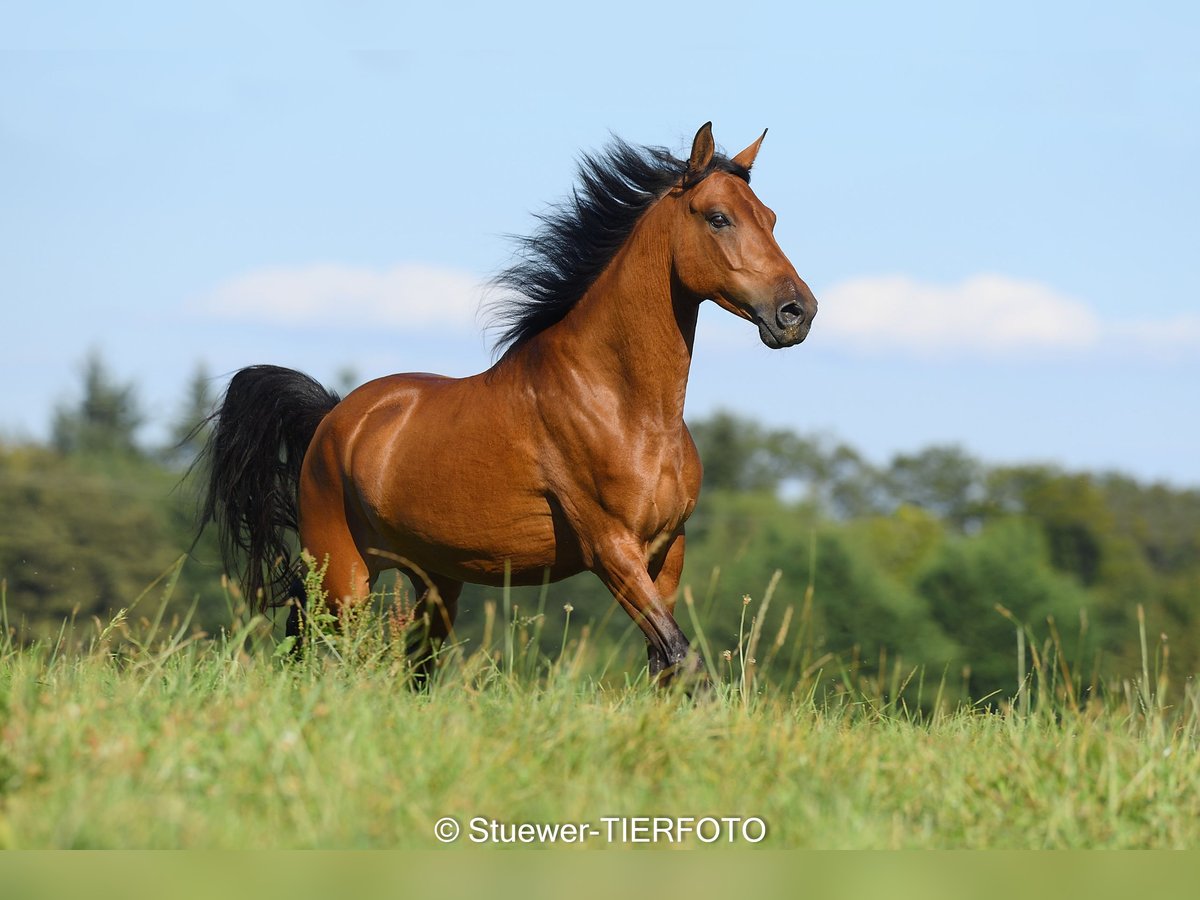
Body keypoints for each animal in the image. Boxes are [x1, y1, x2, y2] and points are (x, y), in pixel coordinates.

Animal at [199, 120, 816, 681]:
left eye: (771, 218)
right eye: (718, 218)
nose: (797, 313)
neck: (627, 409)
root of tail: (333, 416)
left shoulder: (667, 553)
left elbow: (666, 664)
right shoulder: (611, 548)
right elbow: (683, 660)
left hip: (436, 580)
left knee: (412, 667)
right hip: (343, 574)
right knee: (307, 643)